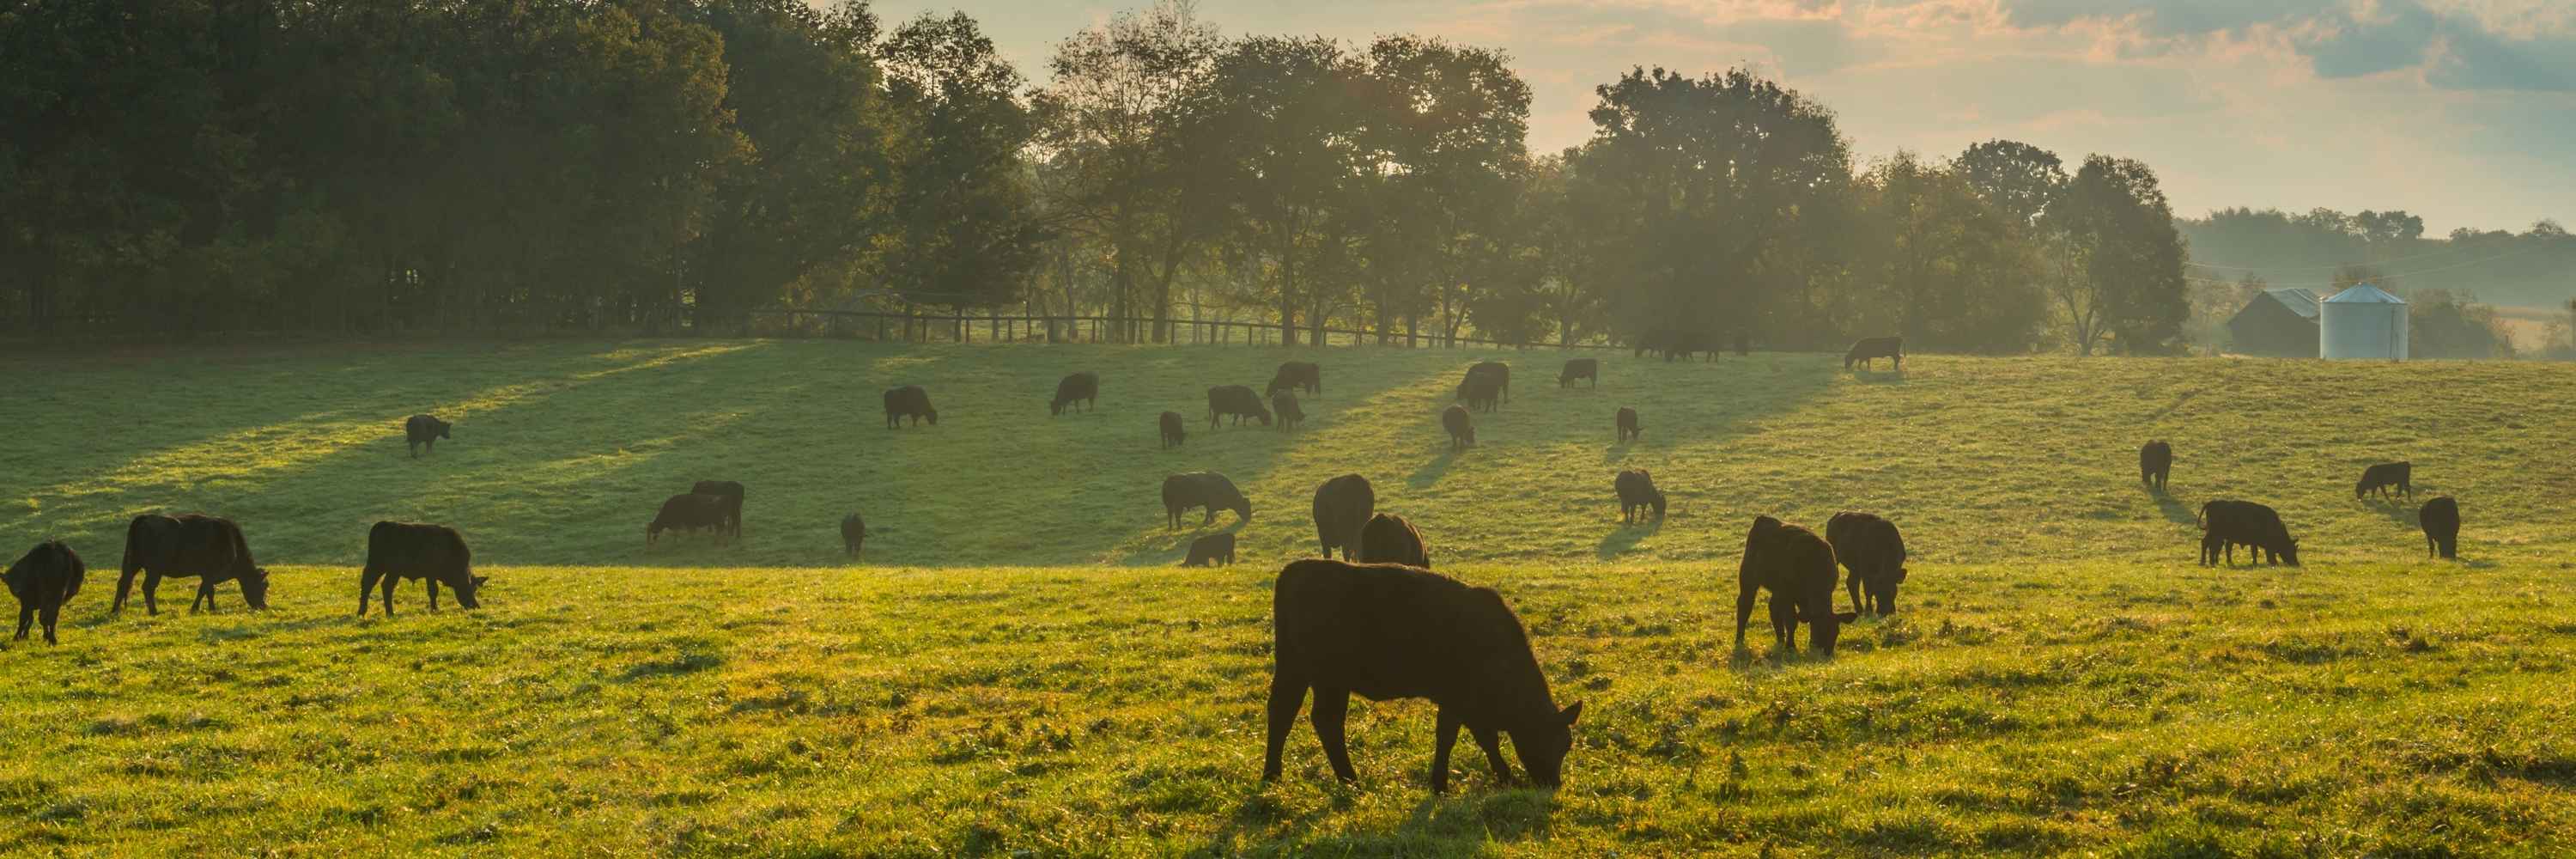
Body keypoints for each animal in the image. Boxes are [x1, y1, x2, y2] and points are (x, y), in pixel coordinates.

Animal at [114, 513, 271, 615]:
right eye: (263, 585)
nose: (263, 606)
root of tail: (145, 518)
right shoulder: (210, 573)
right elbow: (204, 590)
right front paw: (195, 609)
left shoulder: (207, 575)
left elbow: (209, 591)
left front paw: (212, 608)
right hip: (154, 569)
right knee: (147, 587)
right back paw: (154, 612)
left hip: (133, 563)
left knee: (123, 583)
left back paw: (115, 611)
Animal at [358, 521, 485, 616]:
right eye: (472, 588)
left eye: (475, 589)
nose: (475, 607)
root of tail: (383, 524)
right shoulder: (431, 574)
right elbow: (433, 591)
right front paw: (434, 609)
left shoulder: (430, 575)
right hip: (382, 566)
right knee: (373, 585)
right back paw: (372, 612)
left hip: (387, 569)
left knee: (379, 585)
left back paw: (381, 613)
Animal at [1262, 559, 1582, 793]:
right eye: (1548, 740)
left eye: (1567, 745)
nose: (1553, 784)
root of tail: (1296, 570)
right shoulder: (1460, 699)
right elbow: (1467, 737)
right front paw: (1488, 779)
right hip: (1329, 677)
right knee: (1325, 720)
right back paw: (1350, 781)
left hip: (1295, 668)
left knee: (1283, 712)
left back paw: (1273, 776)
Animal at [1734, 516, 1855, 657]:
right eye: (1820, 629)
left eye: (1836, 632)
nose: (1827, 652)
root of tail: (1763, 519)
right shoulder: (1788, 594)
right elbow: (1791, 621)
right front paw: (1791, 646)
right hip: (1748, 576)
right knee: (1745, 604)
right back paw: (1739, 640)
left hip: (1777, 589)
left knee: (1773, 608)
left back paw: (1781, 640)